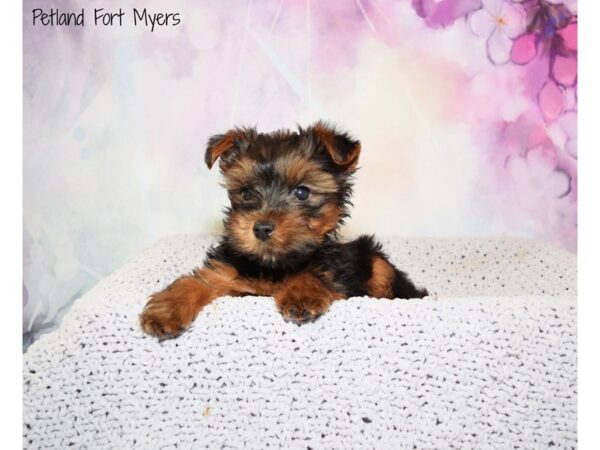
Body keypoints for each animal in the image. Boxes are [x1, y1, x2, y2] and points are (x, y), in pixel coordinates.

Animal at [141, 121, 426, 340]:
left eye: (302, 192)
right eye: (246, 192)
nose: (262, 228)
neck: (273, 264)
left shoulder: (337, 275)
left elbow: (317, 273)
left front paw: (302, 293)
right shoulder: (223, 274)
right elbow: (194, 281)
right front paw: (166, 310)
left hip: (376, 263)